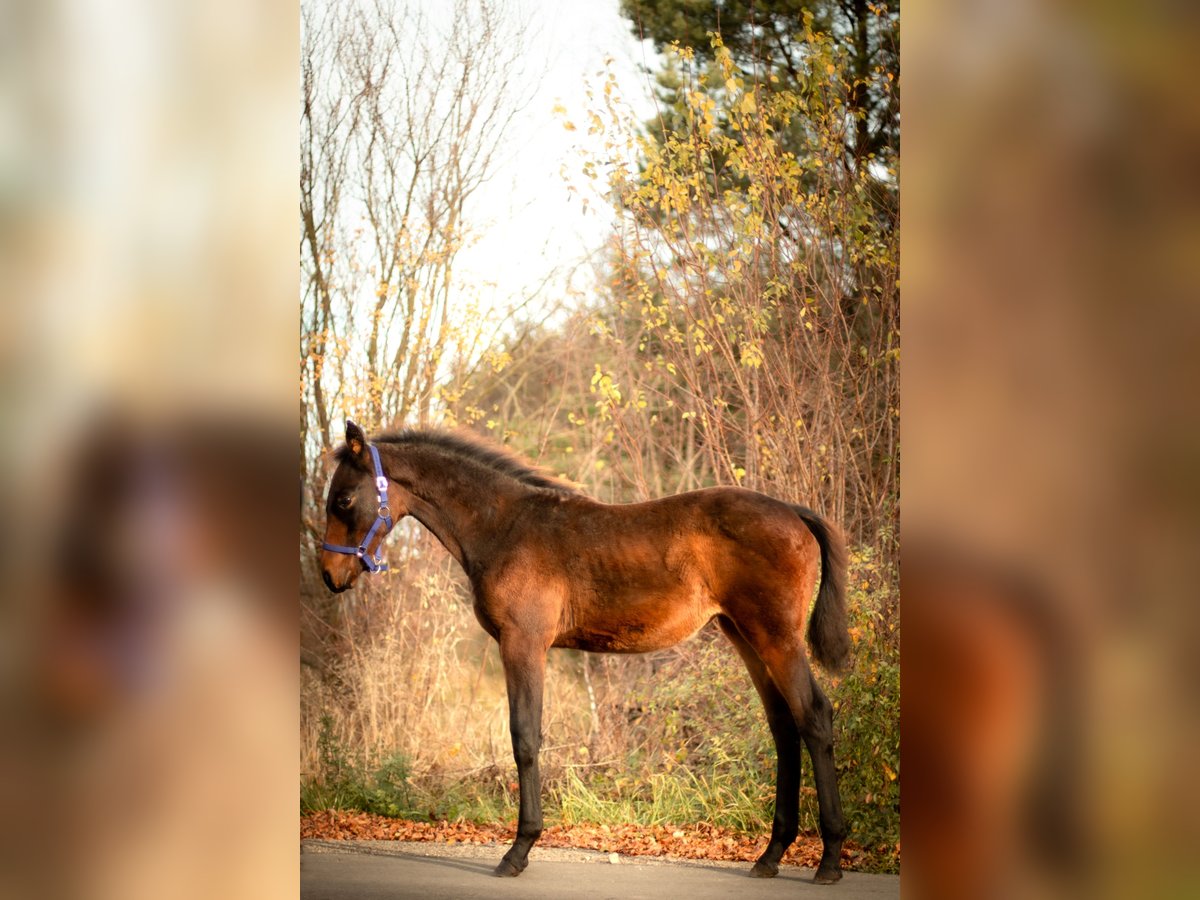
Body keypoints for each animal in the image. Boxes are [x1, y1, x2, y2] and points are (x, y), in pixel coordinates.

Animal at [319, 424, 854, 888]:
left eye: (343, 499)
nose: (329, 574)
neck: (504, 526)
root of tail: (794, 512)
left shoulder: (522, 643)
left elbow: (525, 738)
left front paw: (518, 851)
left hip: (777, 638)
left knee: (814, 717)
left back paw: (829, 859)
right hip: (745, 636)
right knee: (784, 728)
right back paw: (770, 856)